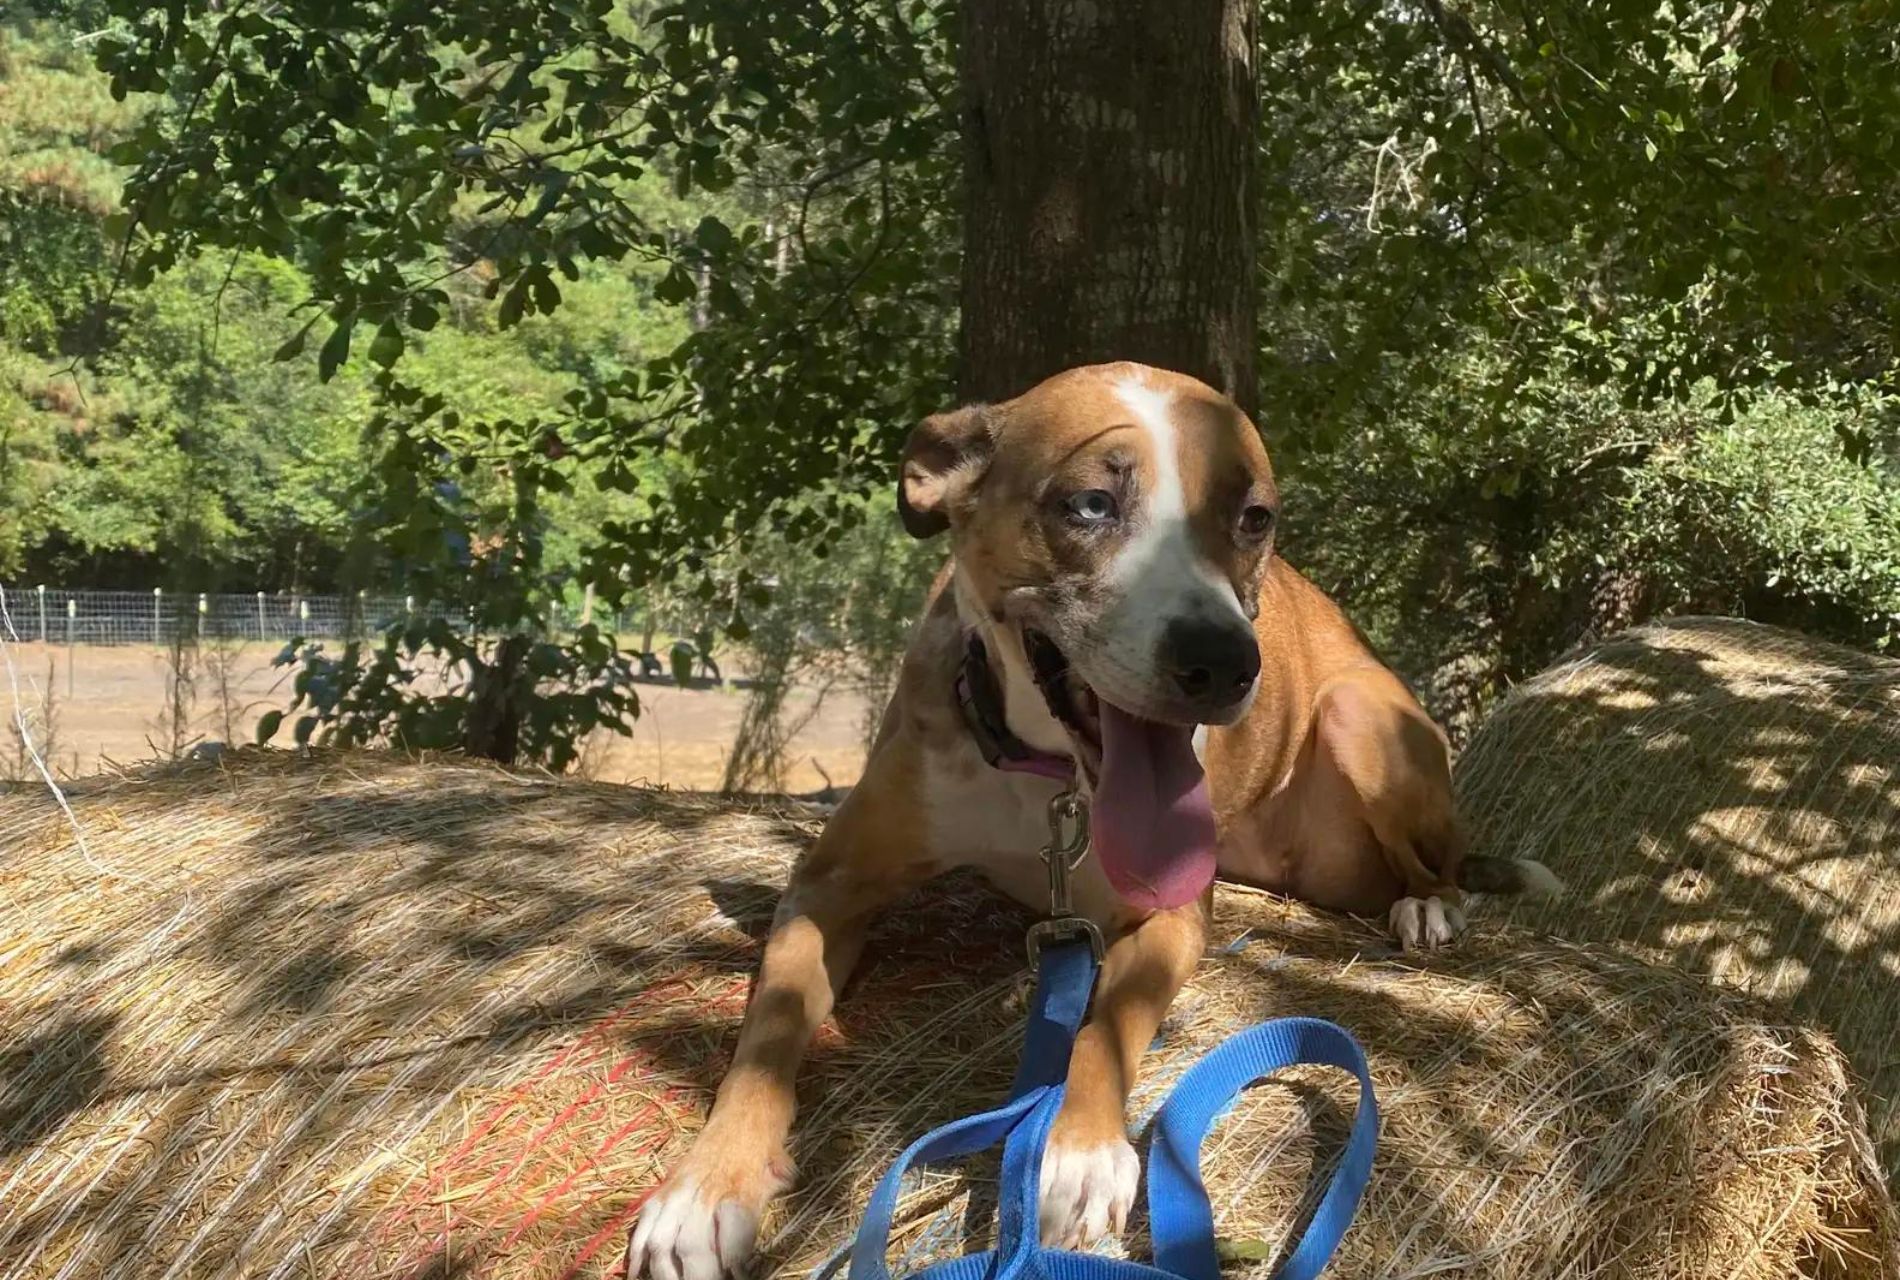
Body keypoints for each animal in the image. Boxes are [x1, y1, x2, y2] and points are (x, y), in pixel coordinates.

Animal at [630, 358, 1550, 1276]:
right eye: (1091, 504)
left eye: (1254, 517)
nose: (1224, 662)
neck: (1048, 775)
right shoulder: (829, 884)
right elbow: (769, 1030)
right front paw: (706, 1187)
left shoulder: (1171, 916)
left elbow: (1107, 1027)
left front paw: (1078, 1153)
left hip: (1360, 717)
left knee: (1438, 866)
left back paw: (1431, 905)